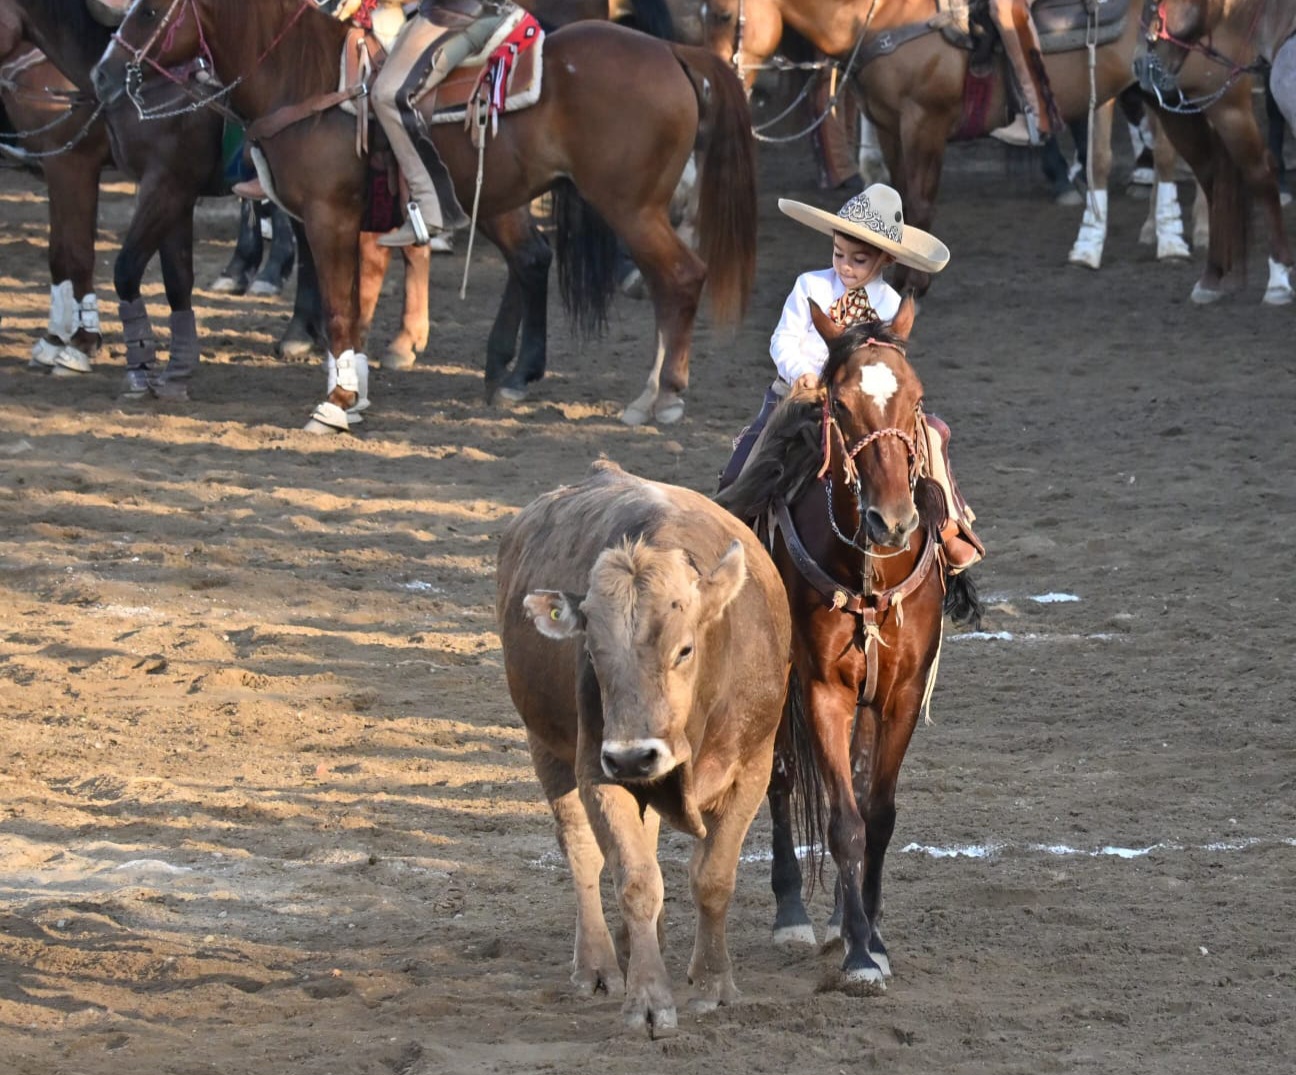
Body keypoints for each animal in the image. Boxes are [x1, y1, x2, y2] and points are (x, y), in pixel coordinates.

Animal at [0, 9, 111, 374]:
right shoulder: (56, 168)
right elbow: (60, 253)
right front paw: (56, 339)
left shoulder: (72, 164)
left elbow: (77, 253)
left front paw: (82, 344)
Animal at [92, 0, 757, 432]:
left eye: (149, 11)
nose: (101, 74)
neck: (307, 81)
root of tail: (671, 50)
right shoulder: (332, 222)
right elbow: (349, 308)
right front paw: (354, 391)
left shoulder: (329, 218)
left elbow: (340, 310)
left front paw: (336, 404)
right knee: (560, 264)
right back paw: (543, 380)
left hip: (629, 206)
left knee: (679, 278)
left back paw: (661, 398)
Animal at [496, 461, 791, 1036]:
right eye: (592, 651)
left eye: (684, 648)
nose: (634, 756)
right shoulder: (599, 770)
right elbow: (634, 880)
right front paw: (649, 998)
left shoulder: (753, 768)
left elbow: (713, 878)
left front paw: (714, 984)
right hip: (547, 746)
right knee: (584, 853)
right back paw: (600, 965)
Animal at [716, 298, 983, 988]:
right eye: (839, 402)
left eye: (916, 397)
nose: (893, 521)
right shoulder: (820, 690)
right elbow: (841, 821)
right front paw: (861, 956)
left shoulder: (900, 694)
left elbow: (876, 814)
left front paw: (872, 933)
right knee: (782, 780)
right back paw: (794, 914)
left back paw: (842, 912)